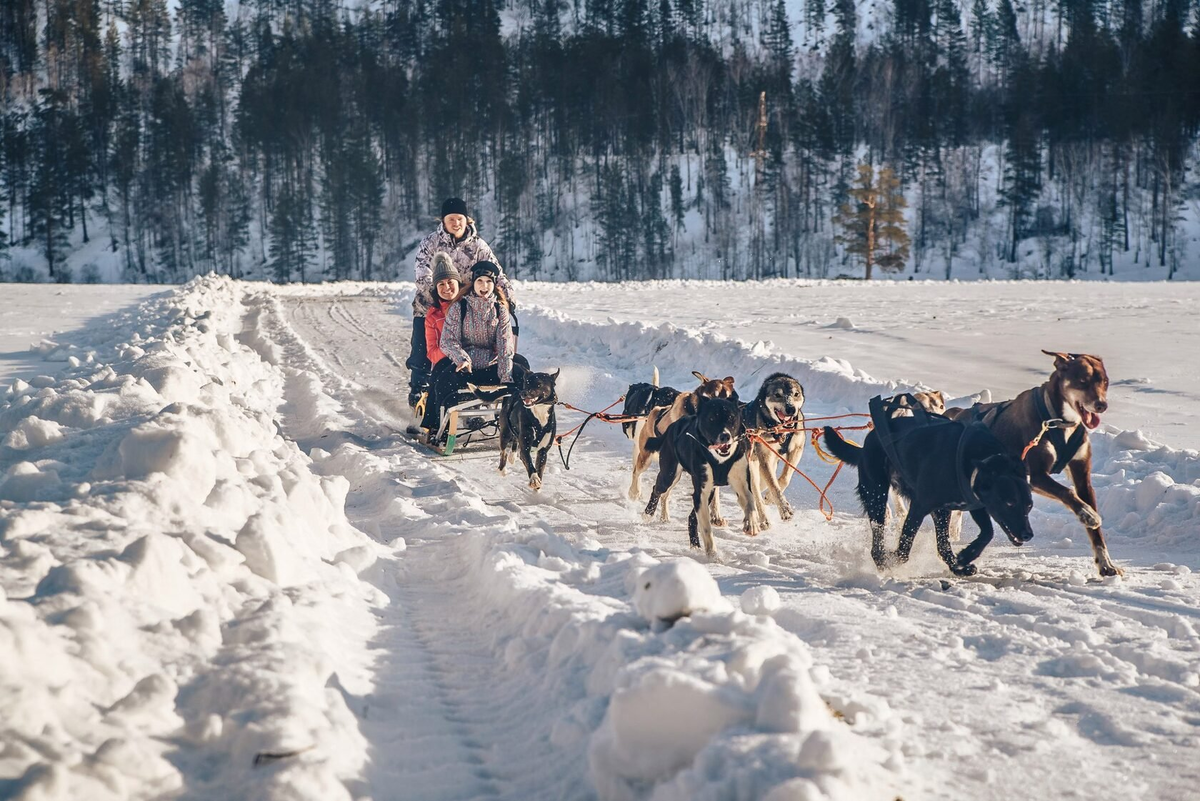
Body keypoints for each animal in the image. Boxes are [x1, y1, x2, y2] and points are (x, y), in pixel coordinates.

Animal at [643, 395, 763, 556]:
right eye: (711, 418)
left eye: (732, 417)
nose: (725, 436)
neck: (720, 460)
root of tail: (672, 428)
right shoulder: (701, 492)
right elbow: (706, 527)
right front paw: (713, 554)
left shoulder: (741, 482)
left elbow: (750, 502)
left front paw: (752, 524)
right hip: (670, 475)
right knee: (658, 489)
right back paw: (648, 513)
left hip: (705, 489)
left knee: (690, 516)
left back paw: (694, 544)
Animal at [820, 407, 1036, 575]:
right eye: (1009, 503)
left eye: (1029, 505)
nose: (1027, 534)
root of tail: (868, 441)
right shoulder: (920, 505)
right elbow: (905, 544)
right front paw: (895, 559)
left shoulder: (974, 503)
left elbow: (987, 533)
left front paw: (965, 557)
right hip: (877, 496)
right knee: (878, 538)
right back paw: (882, 561)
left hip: (940, 512)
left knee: (943, 545)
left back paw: (957, 567)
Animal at [940, 350, 1118, 575]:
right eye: (1083, 381)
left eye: (1104, 381)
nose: (1101, 405)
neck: (1057, 421)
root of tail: (959, 413)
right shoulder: (1035, 476)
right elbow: (1067, 492)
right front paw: (1087, 514)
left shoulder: (1082, 476)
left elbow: (1093, 525)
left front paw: (1106, 563)